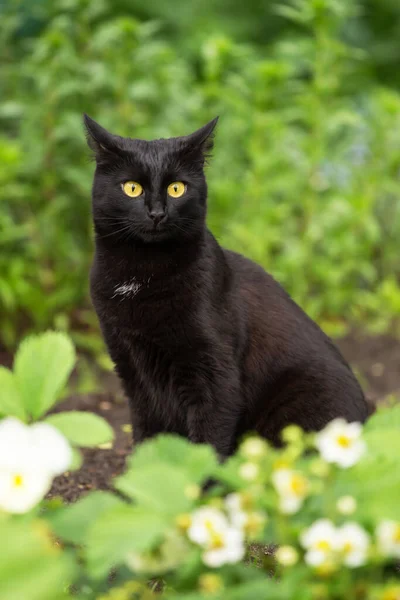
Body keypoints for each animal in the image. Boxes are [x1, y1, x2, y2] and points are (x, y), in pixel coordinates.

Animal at [83, 115, 368, 458]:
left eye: (177, 188)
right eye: (131, 188)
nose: (157, 213)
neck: (142, 275)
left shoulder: (215, 372)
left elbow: (208, 437)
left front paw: (199, 474)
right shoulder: (130, 366)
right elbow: (147, 432)